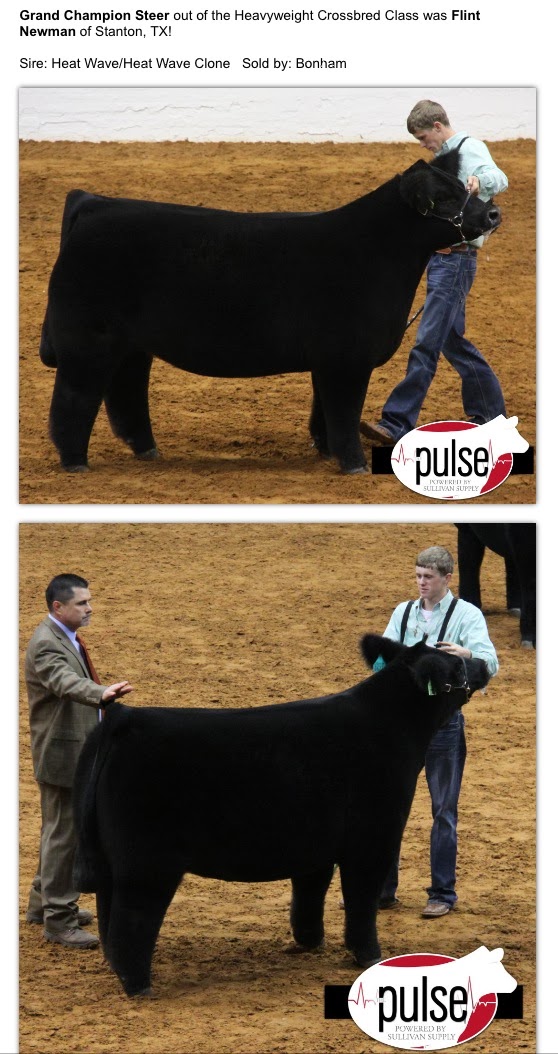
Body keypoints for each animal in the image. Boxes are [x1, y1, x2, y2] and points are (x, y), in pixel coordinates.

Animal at [40, 149, 501, 474]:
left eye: (464, 187)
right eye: (445, 198)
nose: (493, 213)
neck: (375, 251)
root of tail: (95, 203)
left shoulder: (329, 360)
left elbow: (324, 410)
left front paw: (327, 452)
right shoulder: (346, 359)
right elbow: (344, 410)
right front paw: (354, 464)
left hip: (132, 345)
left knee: (125, 391)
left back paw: (148, 450)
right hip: (87, 341)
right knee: (74, 399)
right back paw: (75, 461)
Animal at [72, 633, 489, 996]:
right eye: (456, 664)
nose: (485, 663)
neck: (389, 724)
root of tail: (124, 717)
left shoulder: (314, 845)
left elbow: (309, 893)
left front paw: (310, 942)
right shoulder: (373, 839)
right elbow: (361, 900)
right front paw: (369, 955)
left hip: (112, 864)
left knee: (110, 918)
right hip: (146, 864)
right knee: (132, 920)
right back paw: (139, 986)